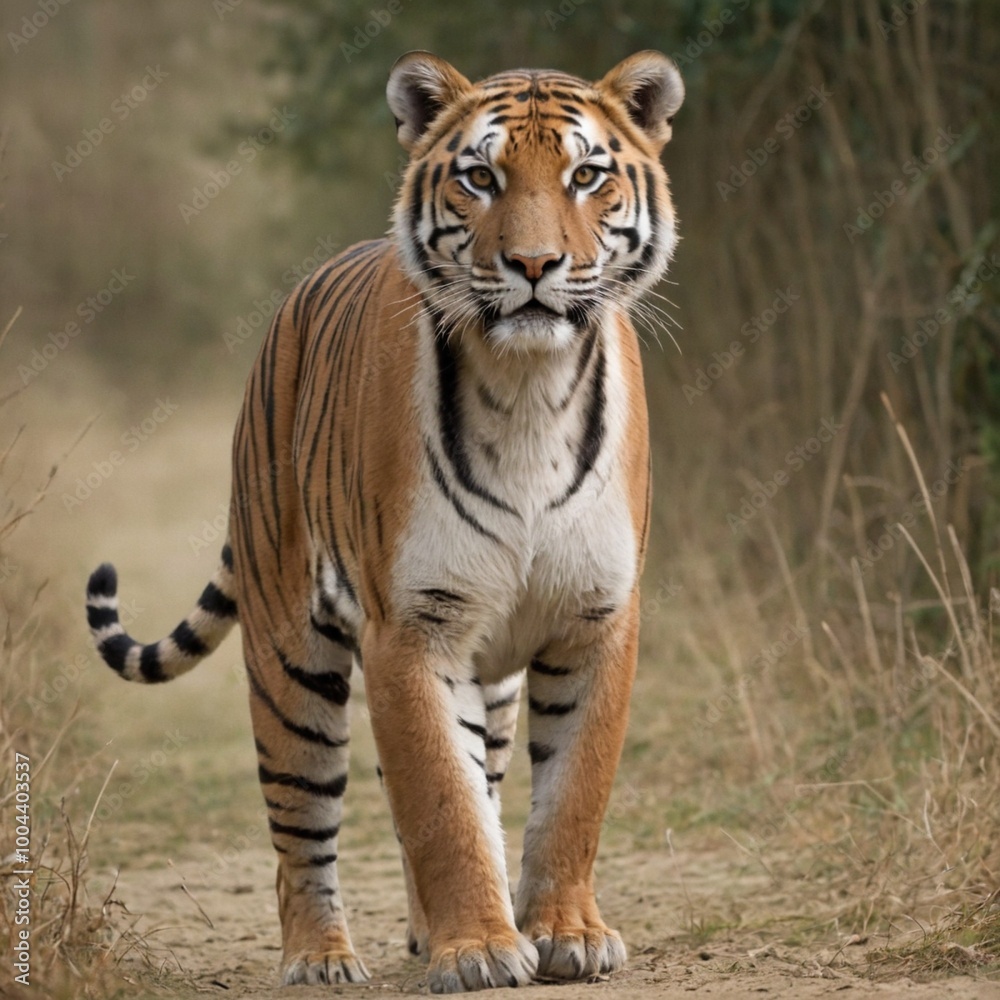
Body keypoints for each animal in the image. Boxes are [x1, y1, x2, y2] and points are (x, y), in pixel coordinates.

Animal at [85, 50, 684, 993]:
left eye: (587, 176)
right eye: (481, 177)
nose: (535, 263)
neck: (528, 389)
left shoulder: (596, 617)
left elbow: (571, 793)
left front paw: (566, 933)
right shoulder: (410, 626)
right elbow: (442, 804)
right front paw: (479, 948)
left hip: (489, 683)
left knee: (480, 780)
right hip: (289, 653)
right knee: (301, 827)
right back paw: (320, 957)